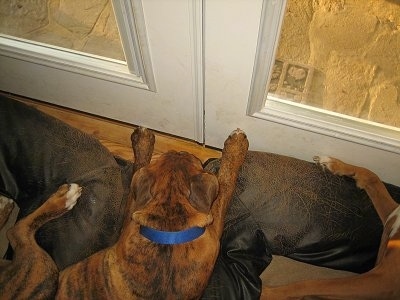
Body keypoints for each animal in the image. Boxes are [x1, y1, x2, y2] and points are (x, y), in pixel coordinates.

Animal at [262, 156, 400, 298]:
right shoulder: (391, 215)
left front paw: (268, 293)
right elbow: (371, 176)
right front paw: (335, 164)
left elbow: (314, 284)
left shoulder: (385, 279)